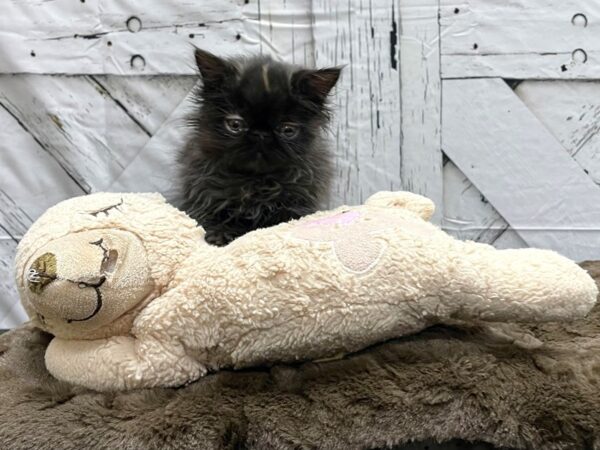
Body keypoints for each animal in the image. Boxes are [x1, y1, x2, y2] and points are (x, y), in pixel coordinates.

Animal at [176, 48, 340, 246]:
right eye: (235, 125)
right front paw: (220, 234)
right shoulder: (203, 194)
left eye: (287, 129)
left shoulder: (300, 201)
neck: (256, 182)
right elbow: (215, 216)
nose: (261, 134)